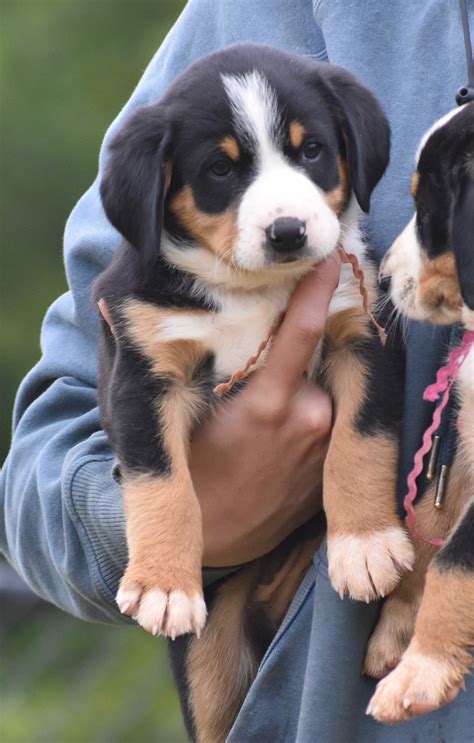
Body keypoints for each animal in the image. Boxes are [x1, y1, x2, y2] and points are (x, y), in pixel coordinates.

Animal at [96, 43, 408, 740]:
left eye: (311, 150)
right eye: (219, 169)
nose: (287, 231)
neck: (250, 291)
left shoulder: (362, 333)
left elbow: (363, 441)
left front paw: (365, 542)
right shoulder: (145, 370)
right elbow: (160, 482)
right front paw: (163, 584)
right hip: (208, 667)